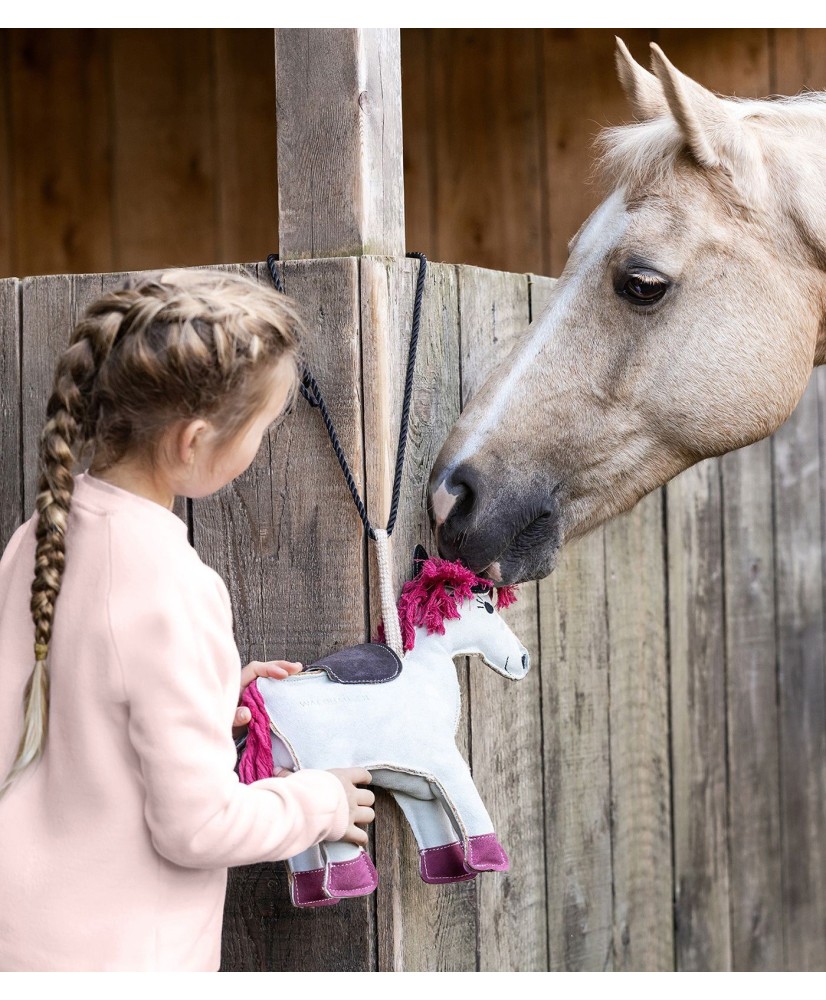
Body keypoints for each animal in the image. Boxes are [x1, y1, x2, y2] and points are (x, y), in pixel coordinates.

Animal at [235, 552, 528, 912]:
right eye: (486, 608)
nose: (524, 659)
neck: (425, 676)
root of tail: (262, 695)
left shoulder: (415, 785)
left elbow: (435, 826)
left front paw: (449, 871)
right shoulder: (448, 762)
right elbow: (470, 805)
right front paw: (489, 861)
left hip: (288, 775)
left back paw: (314, 896)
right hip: (328, 775)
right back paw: (354, 884)